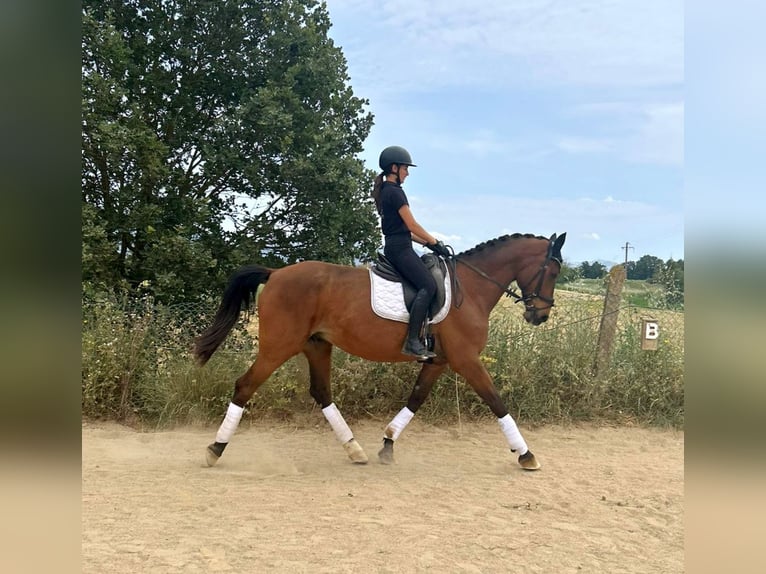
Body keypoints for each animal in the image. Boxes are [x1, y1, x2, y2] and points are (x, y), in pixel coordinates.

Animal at [194, 232, 566, 471]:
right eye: (554, 270)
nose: (540, 315)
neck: (472, 289)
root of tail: (275, 273)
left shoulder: (439, 361)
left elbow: (416, 398)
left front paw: (387, 445)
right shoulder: (466, 360)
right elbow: (497, 402)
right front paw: (526, 455)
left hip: (317, 345)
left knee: (321, 392)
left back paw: (354, 450)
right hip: (278, 346)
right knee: (245, 386)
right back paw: (215, 449)